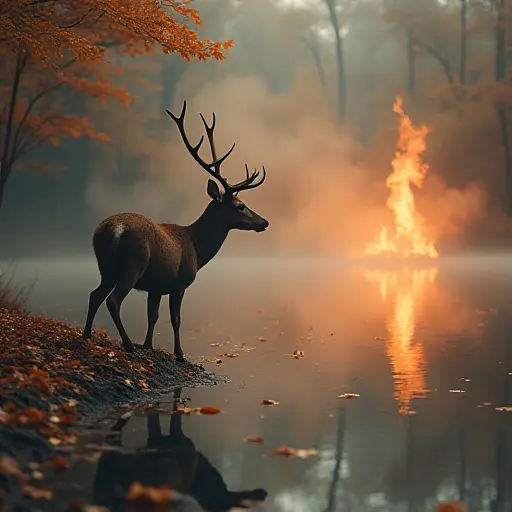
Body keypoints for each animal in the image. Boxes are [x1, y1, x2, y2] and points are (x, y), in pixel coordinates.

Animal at [81, 102, 268, 362]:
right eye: (240, 205)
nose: (264, 222)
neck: (197, 248)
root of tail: (113, 230)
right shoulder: (179, 282)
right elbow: (175, 319)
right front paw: (179, 353)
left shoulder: (156, 286)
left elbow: (153, 316)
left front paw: (148, 345)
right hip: (133, 263)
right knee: (113, 300)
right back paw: (127, 344)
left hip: (105, 266)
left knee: (94, 294)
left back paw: (87, 335)